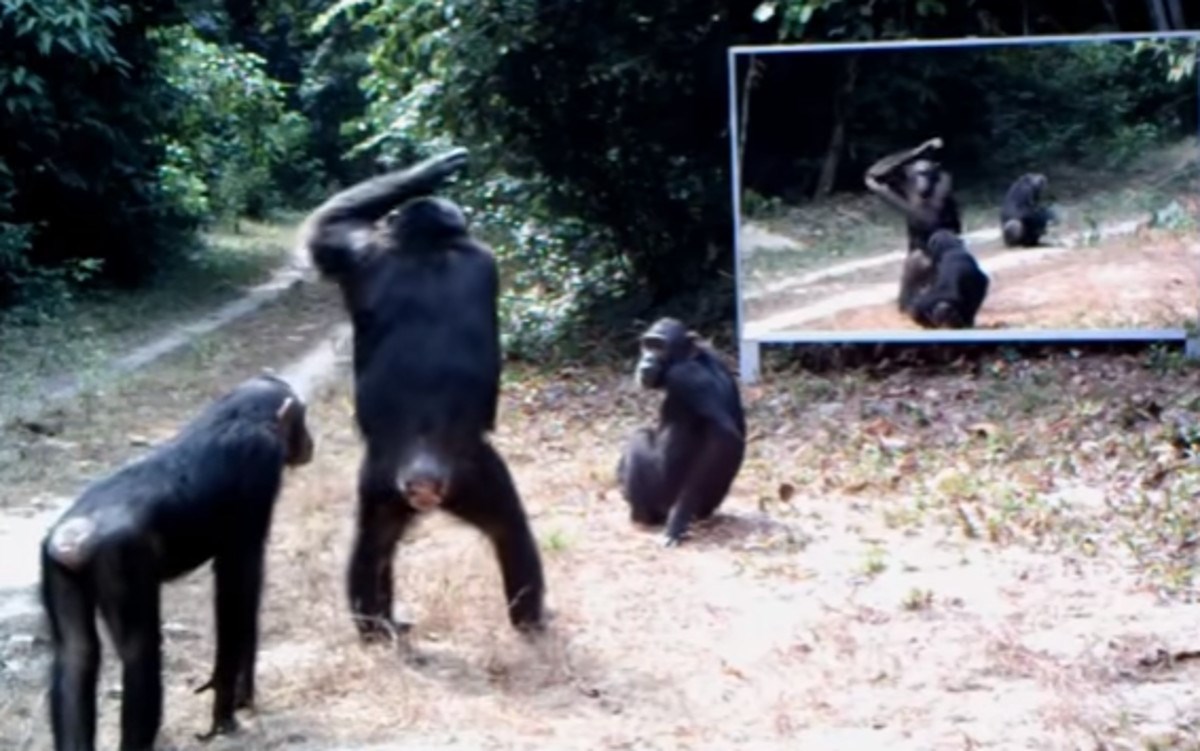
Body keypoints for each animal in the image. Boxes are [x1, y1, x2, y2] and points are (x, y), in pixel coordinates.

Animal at [39, 374, 314, 748]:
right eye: (303, 417)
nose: (310, 440)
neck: (242, 415)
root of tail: (74, 535)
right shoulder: (261, 467)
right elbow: (239, 586)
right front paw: (226, 708)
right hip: (120, 560)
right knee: (140, 653)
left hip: (56, 566)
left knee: (75, 654)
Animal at [297, 146, 547, 638]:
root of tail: (424, 466)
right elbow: (327, 223)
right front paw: (432, 169)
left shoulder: (357, 252)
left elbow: (330, 223)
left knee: (376, 544)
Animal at [614, 316, 744, 544]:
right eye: (647, 344)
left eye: (659, 346)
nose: (647, 358)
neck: (692, 357)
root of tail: (707, 511)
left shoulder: (686, 377)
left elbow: (725, 436)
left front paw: (679, 517)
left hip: (660, 495)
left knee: (639, 438)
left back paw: (642, 513)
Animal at [864, 136, 964, 311]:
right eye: (919, 173)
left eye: (926, 173)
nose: (922, 179)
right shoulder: (899, 182)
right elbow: (876, 174)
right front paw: (924, 147)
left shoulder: (945, 184)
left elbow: (944, 221)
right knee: (916, 259)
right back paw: (905, 303)